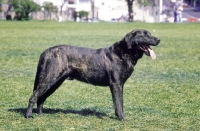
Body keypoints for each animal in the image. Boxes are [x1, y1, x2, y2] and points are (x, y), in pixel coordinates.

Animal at [25, 29, 160, 120]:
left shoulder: (120, 85)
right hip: (49, 78)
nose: (158, 39)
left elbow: (120, 102)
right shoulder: (115, 84)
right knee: (34, 97)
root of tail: (45, 52)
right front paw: (121, 118)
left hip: (55, 82)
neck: (125, 51)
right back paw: (28, 115)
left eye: (150, 34)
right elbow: (118, 103)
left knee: (41, 98)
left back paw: (41, 115)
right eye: (145, 35)